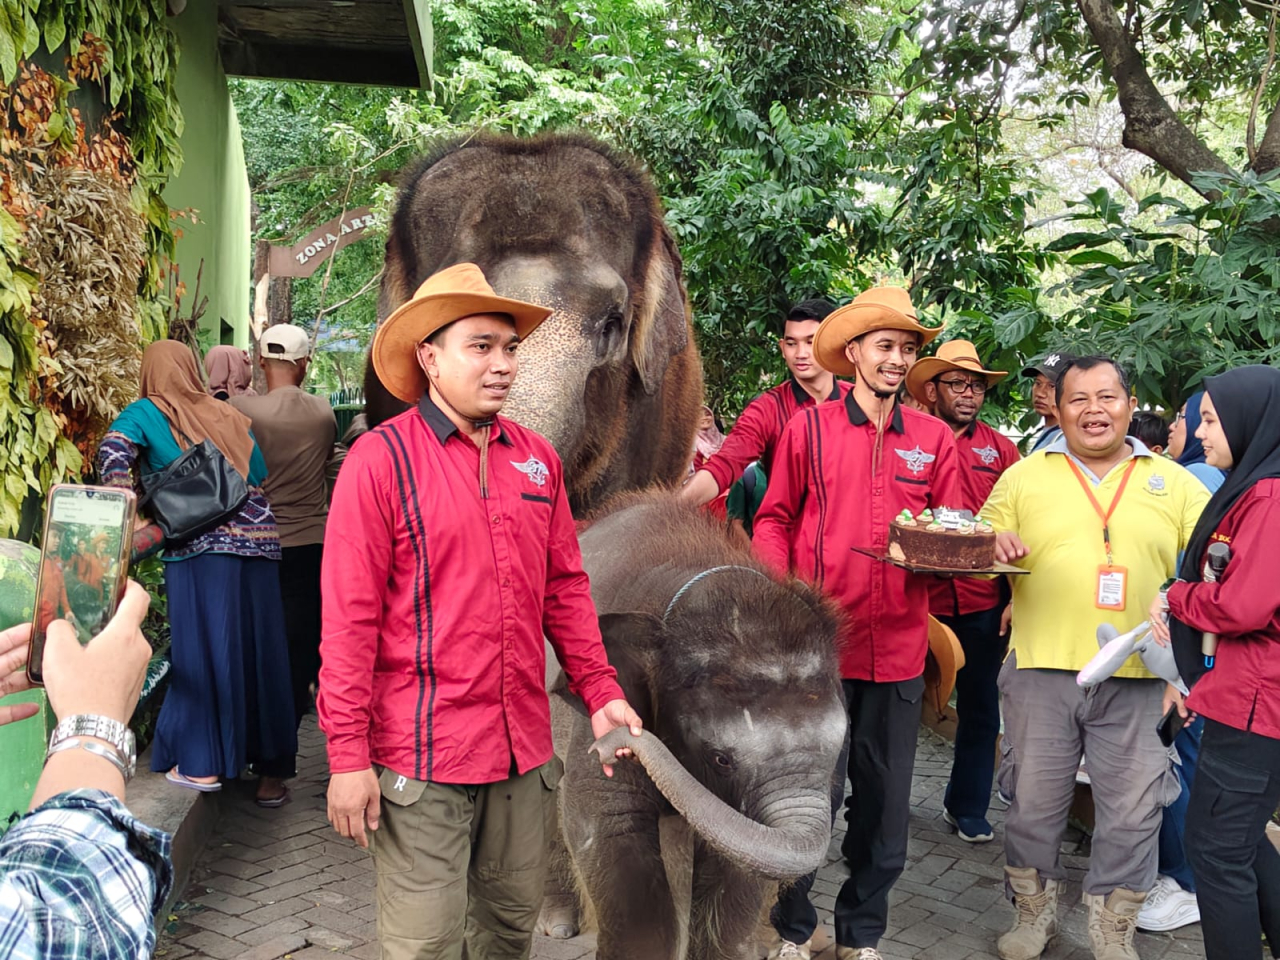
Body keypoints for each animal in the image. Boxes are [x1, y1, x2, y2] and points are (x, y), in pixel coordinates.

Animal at [543, 491, 847, 960]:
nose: (615, 742)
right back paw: (557, 924)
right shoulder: (590, 723)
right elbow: (608, 827)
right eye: (721, 758)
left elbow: (741, 869)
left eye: (837, 752)